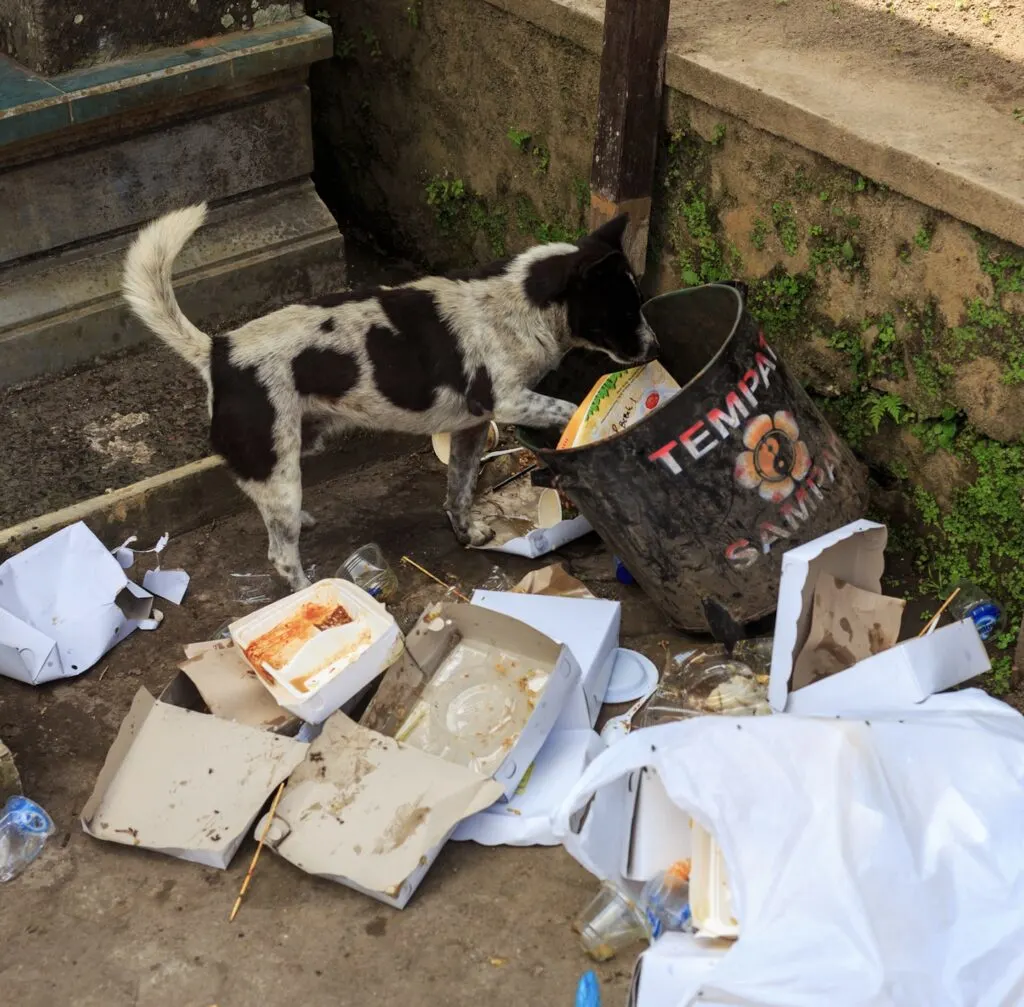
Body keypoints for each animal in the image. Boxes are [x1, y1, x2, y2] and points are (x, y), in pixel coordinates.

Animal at [121, 208, 655, 594]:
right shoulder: (507, 401)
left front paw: (468, 534)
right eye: (624, 309)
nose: (654, 349)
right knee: (280, 555)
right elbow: (569, 411)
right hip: (276, 464)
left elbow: (459, 490)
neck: (522, 302)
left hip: (287, 458)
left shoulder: (471, 428)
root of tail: (218, 352)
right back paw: (311, 593)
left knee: (275, 518)